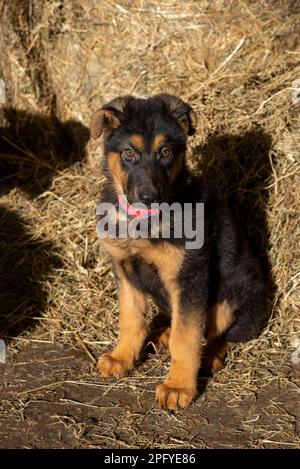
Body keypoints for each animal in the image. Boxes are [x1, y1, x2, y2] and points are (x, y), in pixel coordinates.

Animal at [91, 95, 268, 410]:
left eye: (166, 152)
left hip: (232, 297)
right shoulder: (124, 269)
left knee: (223, 334)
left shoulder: (189, 277)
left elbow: (186, 338)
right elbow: (131, 319)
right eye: (128, 152)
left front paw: (178, 386)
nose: (148, 196)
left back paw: (209, 355)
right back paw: (163, 333)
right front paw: (122, 358)